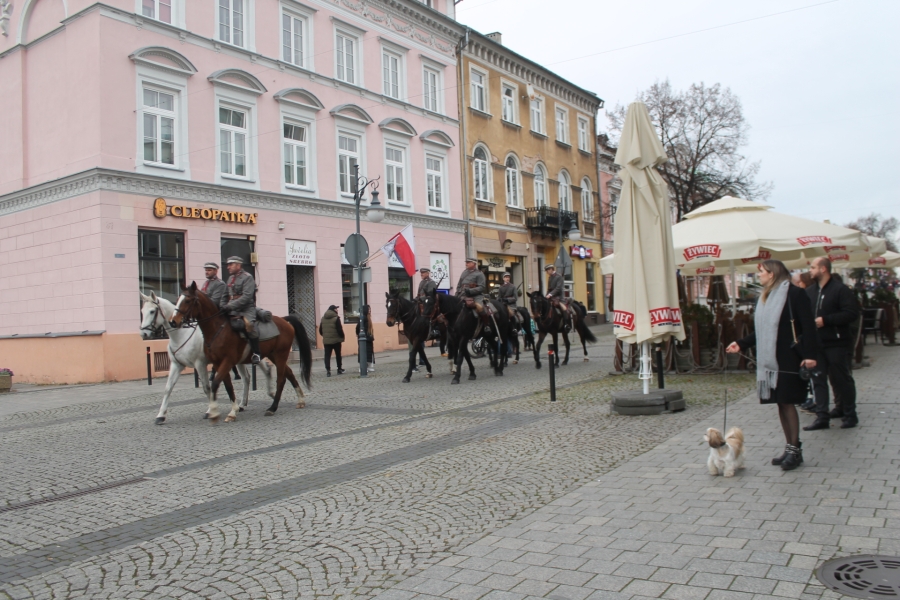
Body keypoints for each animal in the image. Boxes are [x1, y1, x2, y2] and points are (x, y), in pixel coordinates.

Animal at [140, 291, 252, 425]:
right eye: (142, 311)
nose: (143, 334)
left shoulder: (200, 364)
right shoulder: (176, 364)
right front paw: (161, 415)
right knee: (246, 377)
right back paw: (242, 404)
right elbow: (168, 388)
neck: (181, 335)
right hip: (239, 360)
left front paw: (210, 410)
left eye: (152, 311)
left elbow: (206, 387)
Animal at [171, 282, 312, 422]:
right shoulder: (217, 363)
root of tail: (284, 320)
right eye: (177, 300)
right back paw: (300, 400)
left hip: (280, 354)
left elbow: (216, 383)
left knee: (281, 379)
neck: (217, 330)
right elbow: (227, 386)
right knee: (289, 373)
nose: (173, 322)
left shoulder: (227, 361)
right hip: (273, 355)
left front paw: (216, 412)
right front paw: (232, 410)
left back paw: (273, 407)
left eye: (188, 300)